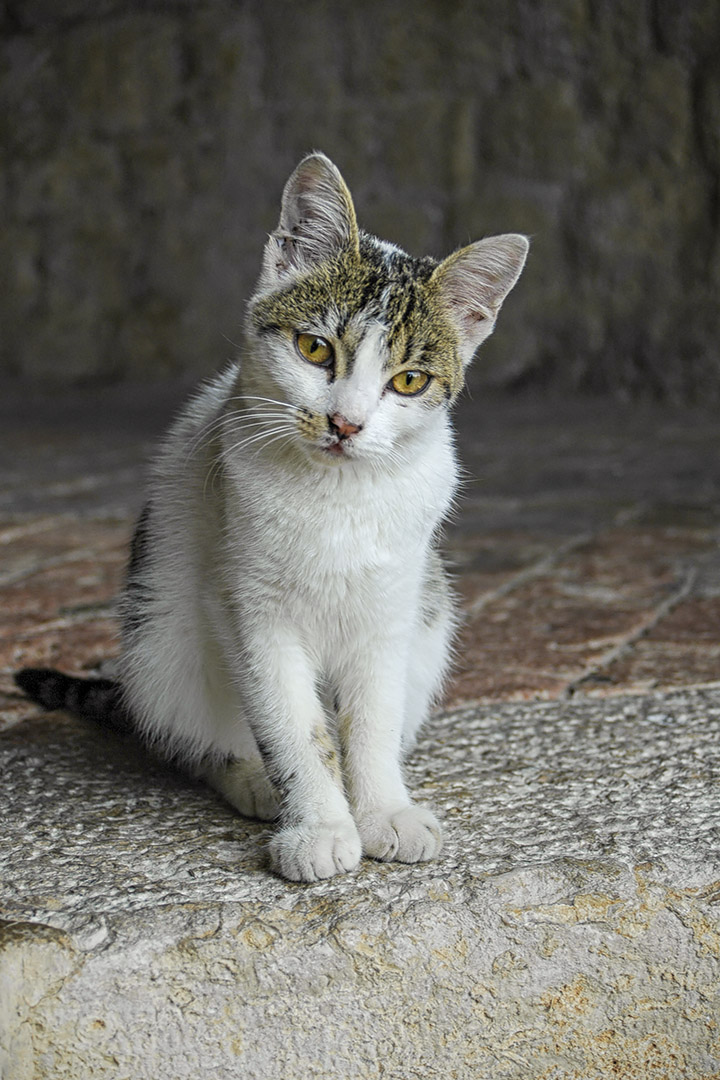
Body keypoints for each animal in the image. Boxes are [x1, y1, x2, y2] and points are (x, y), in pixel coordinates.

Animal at [14, 156, 526, 881]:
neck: (337, 497)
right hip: (159, 637)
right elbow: (294, 726)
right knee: (194, 737)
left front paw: (383, 810)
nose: (345, 423)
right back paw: (250, 779)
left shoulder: (390, 608)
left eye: (408, 381)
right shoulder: (249, 610)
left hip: (431, 621)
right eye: (314, 350)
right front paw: (317, 826)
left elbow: (370, 720)